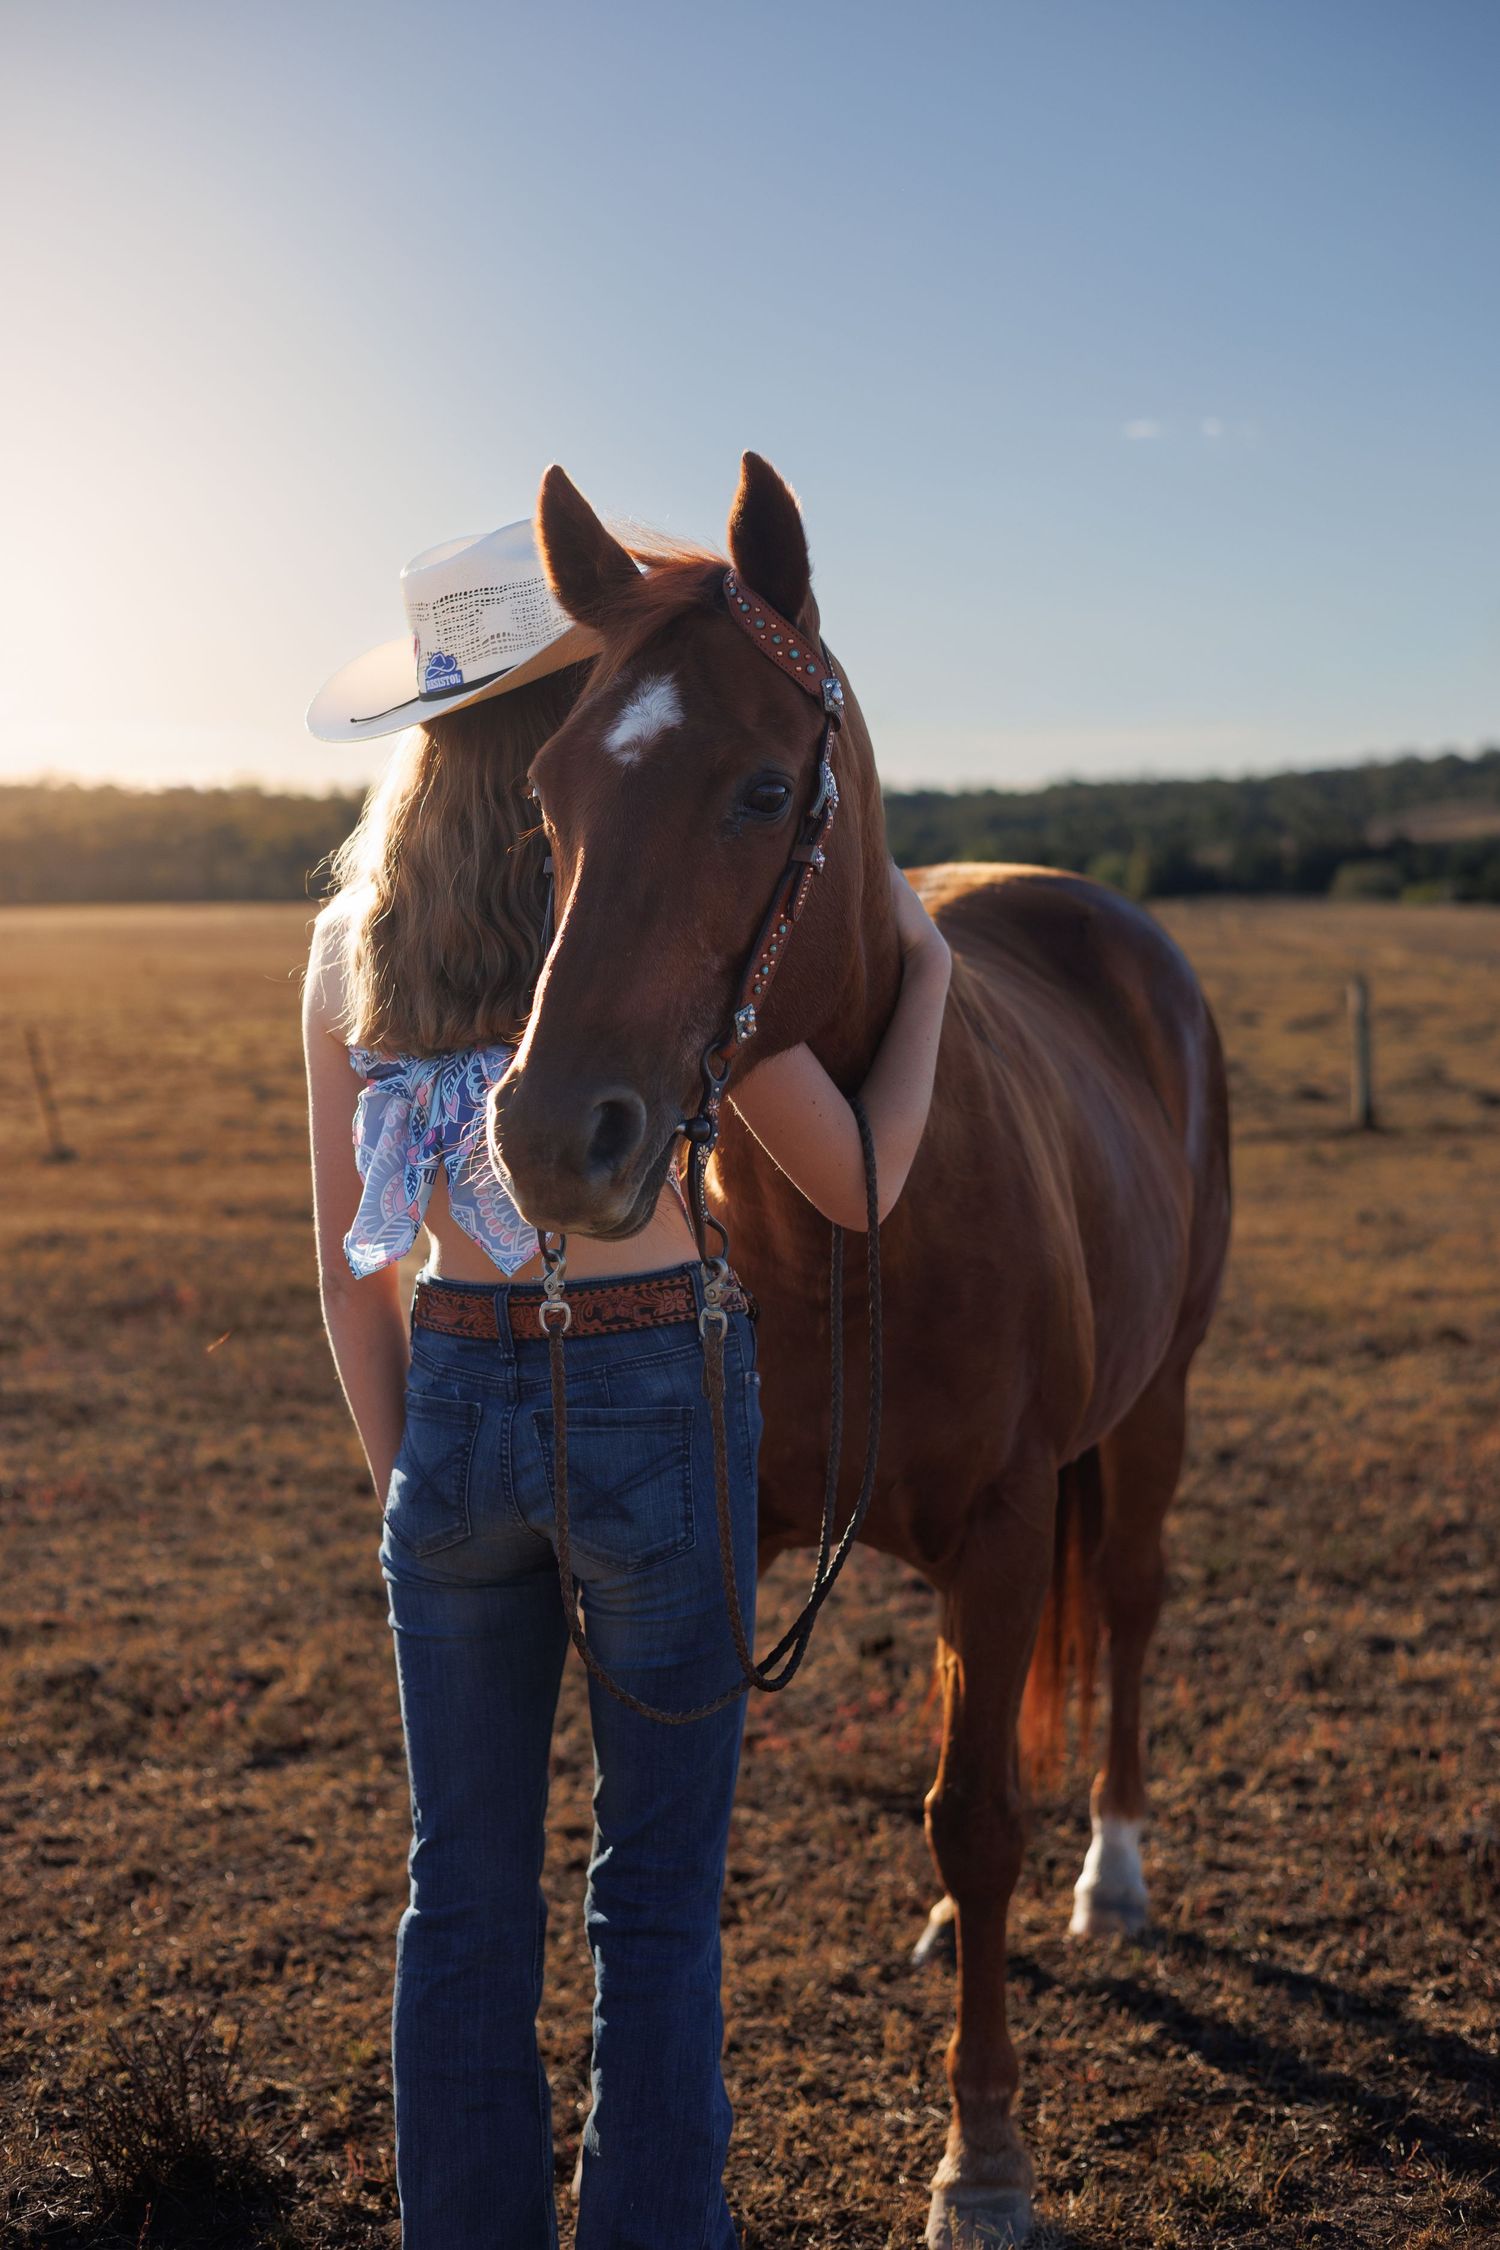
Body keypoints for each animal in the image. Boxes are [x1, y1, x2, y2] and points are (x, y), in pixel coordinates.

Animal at [492, 453, 1232, 2247]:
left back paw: (1113, 1871)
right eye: (549, 795)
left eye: (764, 790)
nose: (549, 1138)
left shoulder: (1009, 1526)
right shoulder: (736, 1542)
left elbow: (975, 1818)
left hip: (1151, 1416)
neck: (857, 1220)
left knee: (1122, 1612)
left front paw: (985, 2158)